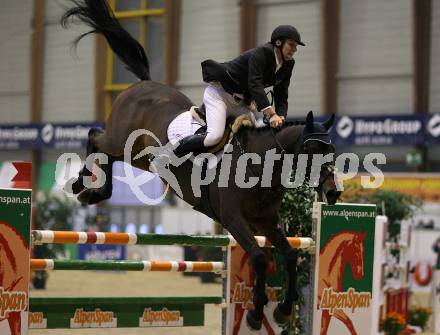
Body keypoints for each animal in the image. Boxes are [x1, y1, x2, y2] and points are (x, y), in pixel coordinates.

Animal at [62, 0, 342, 330]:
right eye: (311, 149)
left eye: (332, 150)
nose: (333, 193)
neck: (260, 167)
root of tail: (143, 84)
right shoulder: (234, 219)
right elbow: (260, 257)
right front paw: (255, 314)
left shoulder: (266, 221)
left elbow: (288, 255)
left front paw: (283, 311)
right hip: (121, 139)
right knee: (95, 138)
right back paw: (80, 185)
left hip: (137, 155)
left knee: (106, 155)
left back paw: (93, 192)